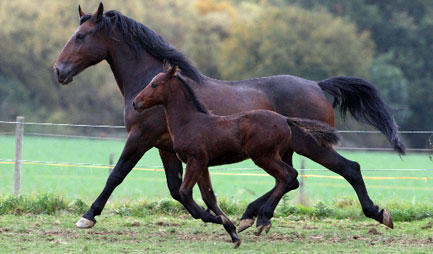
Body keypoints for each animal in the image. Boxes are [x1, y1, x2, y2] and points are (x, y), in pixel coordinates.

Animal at [132, 62, 340, 247]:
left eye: (154, 84)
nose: (135, 103)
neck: (190, 122)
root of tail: (285, 119)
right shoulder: (203, 164)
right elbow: (209, 197)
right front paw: (232, 232)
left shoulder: (195, 160)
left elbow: (185, 192)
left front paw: (214, 219)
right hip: (273, 156)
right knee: (289, 178)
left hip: (264, 156)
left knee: (288, 176)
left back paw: (263, 219)